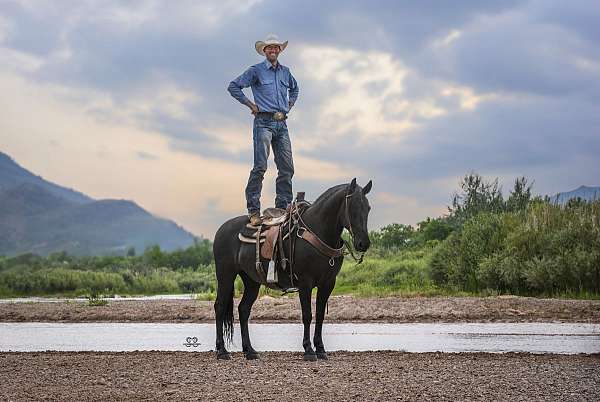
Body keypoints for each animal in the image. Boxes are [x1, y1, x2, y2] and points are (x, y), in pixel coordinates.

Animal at [211, 177, 370, 360]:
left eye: (368, 208)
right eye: (353, 207)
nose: (363, 243)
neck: (317, 231)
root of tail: (222, 229)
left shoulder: (328, 283)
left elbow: (320, 315)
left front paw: (320, 349)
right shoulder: (305, 283)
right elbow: (307, 315)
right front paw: (309, 350)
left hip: (251, 280)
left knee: (243, 309)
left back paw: (250, 351)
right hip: (225, 275)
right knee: (220, 307)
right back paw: (222, 350)